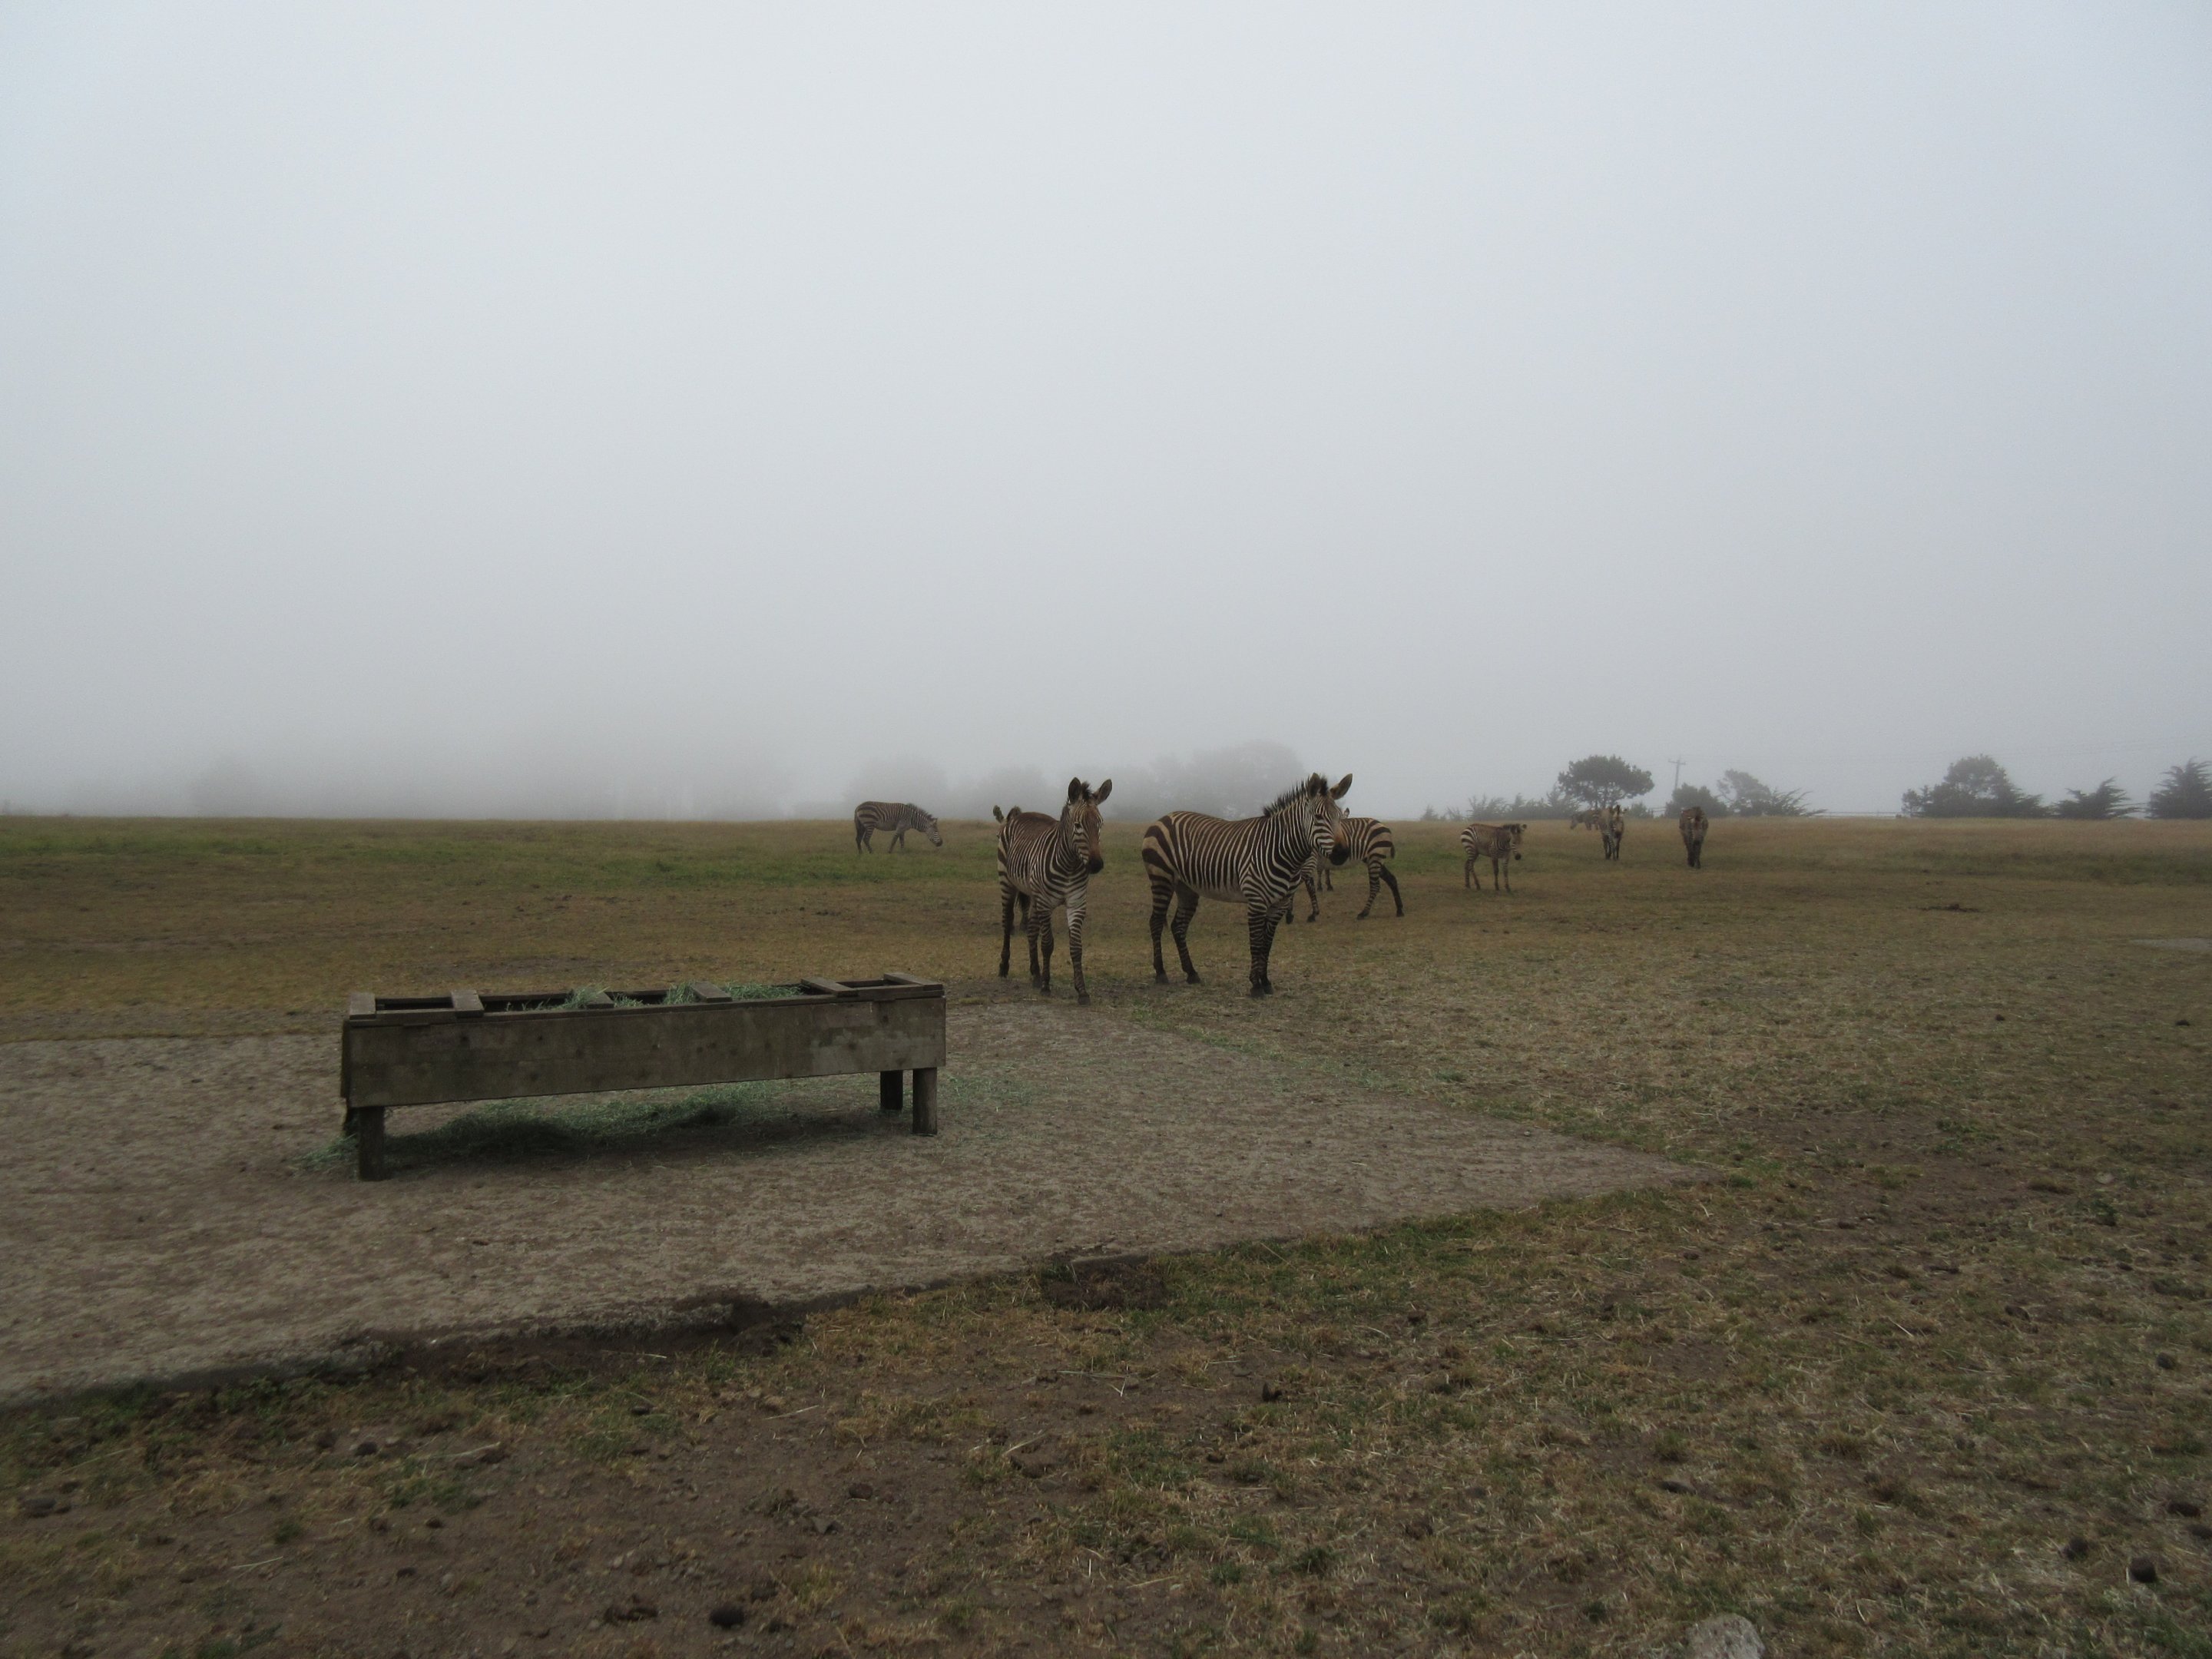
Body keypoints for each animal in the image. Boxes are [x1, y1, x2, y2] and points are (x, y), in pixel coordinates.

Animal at [995, 779, 1111, 1003]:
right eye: (1078, 825)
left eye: (1100, 824)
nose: (1096, 865)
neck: (1070, 864)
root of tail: (1022, 814)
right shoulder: (1045, 903)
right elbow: (1048, 944)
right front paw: (1047, 986)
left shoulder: (1076, 903)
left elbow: (1076, 947)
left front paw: (1081, 991)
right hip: (1007, 883)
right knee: (1007, 922)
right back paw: (1004, 967)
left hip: (1033, 895)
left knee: (1032, 930)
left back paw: (1036, 973)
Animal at [1142, 773, 1353, 997]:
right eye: (1318, 817)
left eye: (1340, 817)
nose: (1342, 854)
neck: (1281, 850)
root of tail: (1165, 816)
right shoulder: (1257, 901)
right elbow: (1256, 943)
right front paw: (1255, 985)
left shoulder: (1280, 904)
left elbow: (1267, 944)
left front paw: (1266, 981)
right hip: (1161, 878)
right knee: (1156, 922)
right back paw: (1161, 973)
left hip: (1187, 888)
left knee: (1178, 926)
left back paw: (1191, 973)